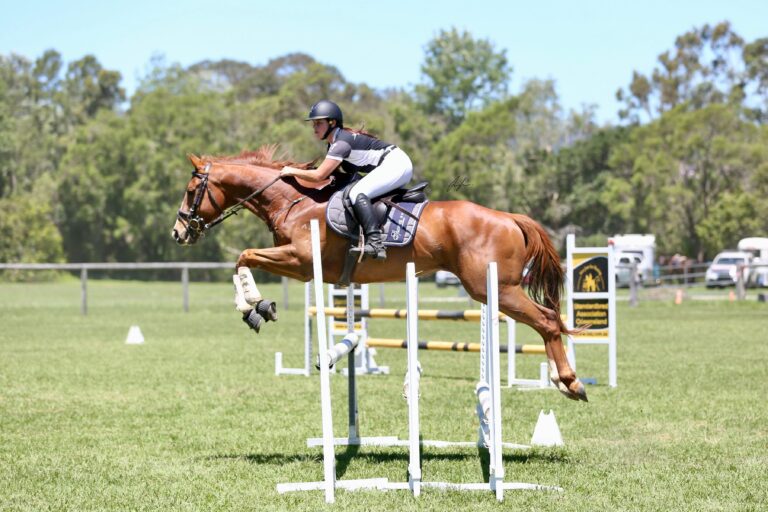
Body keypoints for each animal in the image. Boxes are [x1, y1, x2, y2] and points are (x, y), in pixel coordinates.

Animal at [171, 146, 587, 402]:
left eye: (191, 190)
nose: (178, 233)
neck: (294, 201)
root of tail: (510, 218)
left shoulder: (301, 263)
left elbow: (243, 256)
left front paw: (255, 306)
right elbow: (243, 259)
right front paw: (254, 308)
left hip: (495, 288)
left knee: (547, 320)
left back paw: (569, 382)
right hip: (495, 289)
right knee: (548, 320)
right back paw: (562, 380)